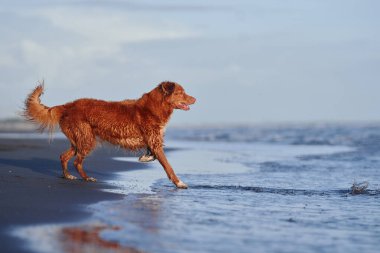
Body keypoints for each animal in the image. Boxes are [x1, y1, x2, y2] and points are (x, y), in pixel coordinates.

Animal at [24, 81, 196, 188]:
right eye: (181, 92)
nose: (195, 98)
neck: (154, 107)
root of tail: (67, 106)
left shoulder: (154, 140)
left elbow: (153, 153)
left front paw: (145, 157)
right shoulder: (155, 141)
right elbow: (168, 166)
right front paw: (179, 183)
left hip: (78, 140)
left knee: (64, 156)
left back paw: (68, 176)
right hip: (87, 139)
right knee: (77, 161)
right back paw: (86, 178)